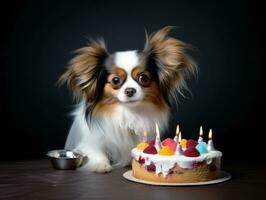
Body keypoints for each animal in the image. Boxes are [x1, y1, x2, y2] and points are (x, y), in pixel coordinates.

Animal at [60, 26, 197, 173]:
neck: (129, 111)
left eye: (143, 78)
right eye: (115, 80)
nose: (130, 90)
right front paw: (101, 165)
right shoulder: (89, 142)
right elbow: (95, 151)